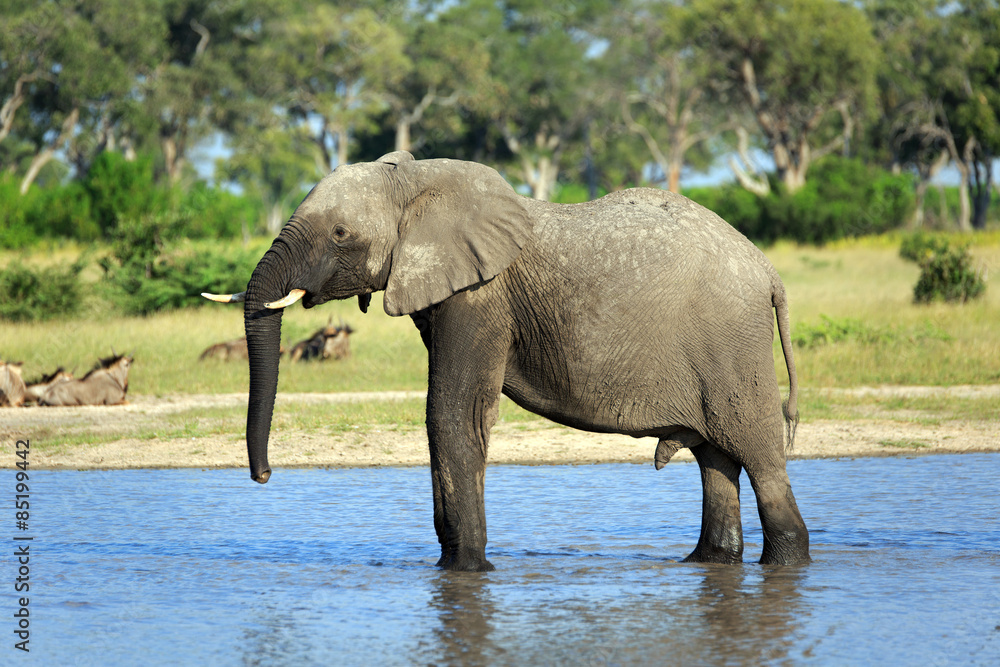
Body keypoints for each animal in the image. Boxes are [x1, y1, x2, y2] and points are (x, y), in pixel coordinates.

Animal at [203, 150, 809, 571]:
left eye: (339, 233)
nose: (263, 476)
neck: (417, 182)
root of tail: (770, 272)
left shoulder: (480, 296)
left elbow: (452, 414)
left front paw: (465, 569)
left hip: (733, 344)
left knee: (760, 461)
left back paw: (786, 562)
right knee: (716, 460)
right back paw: (707, 562)